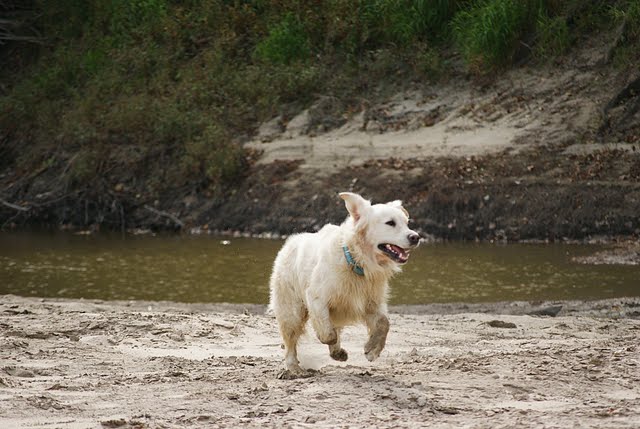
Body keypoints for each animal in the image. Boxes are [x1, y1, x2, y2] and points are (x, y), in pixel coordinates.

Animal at [269, 192, 420, 378]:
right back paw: (295, 368)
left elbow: (384, 323)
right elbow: (328, 333)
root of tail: (290, 242)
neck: (357, 261)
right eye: (390, 223)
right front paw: (328, 340)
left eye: (407, 223)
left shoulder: (372, 301)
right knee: (290, 340)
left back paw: (337, 353)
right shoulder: (317, 297)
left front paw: (372, 350)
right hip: (291, 309)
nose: (415, 237)